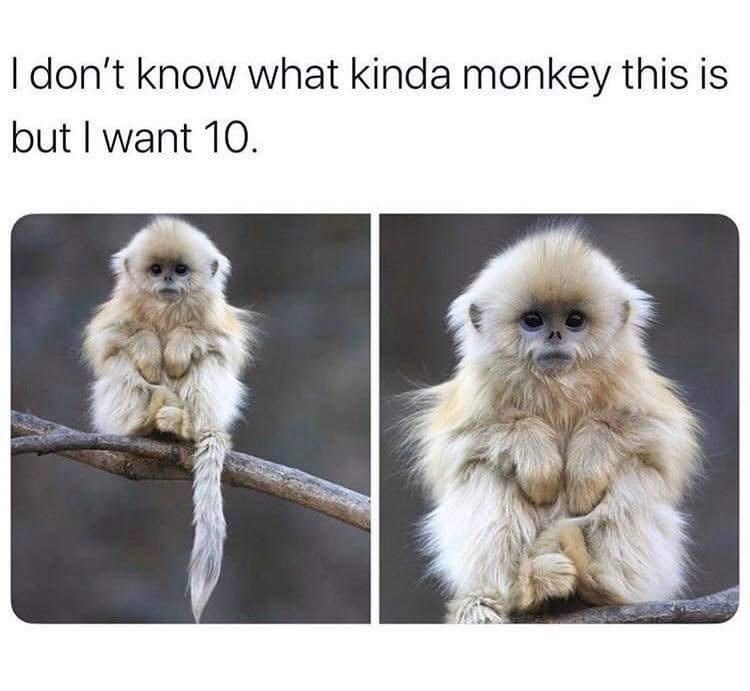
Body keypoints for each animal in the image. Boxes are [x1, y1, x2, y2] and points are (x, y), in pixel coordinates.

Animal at [83, 217, 258, 622]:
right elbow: (110, 341)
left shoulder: (218, 320)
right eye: (155, 269)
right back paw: (145, 421)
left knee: (209, 360)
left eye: (180, 269)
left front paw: (178, 346)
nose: (167, 280)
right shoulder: (115, 316)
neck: (167, 312)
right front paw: (149, 349)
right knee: (120, 362)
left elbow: (220, 343)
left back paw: (183, 425)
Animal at [402, 222, 700, 623]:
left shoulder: (634, 385)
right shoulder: (473, 394)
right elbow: (458, 445)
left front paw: (586, 468)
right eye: (533, 320)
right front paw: (537, 459)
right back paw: (527, 588)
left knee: (635, 473)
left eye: (574, 320)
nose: (555, 334)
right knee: (485, 471)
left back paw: (602, 586)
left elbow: (659, 437)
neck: (557, 388)